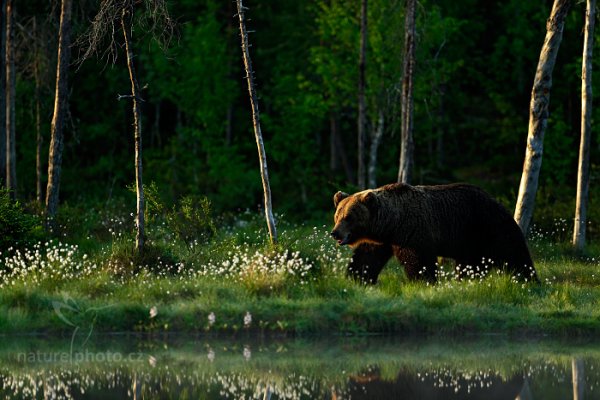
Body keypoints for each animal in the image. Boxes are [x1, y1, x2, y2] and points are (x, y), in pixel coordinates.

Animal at [332, 184, 540, 284]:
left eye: (349, 217)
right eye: (337, 216)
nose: (335, 233)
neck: (391, 224)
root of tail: (497, 201)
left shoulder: (413, 232)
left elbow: (418, 261)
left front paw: (423, 281)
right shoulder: (380, 240)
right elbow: (366, 258)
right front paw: (357, 278)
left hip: (487, 227)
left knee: (513, 253)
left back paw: (530, 279)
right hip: (469, 241)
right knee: (469, 264)